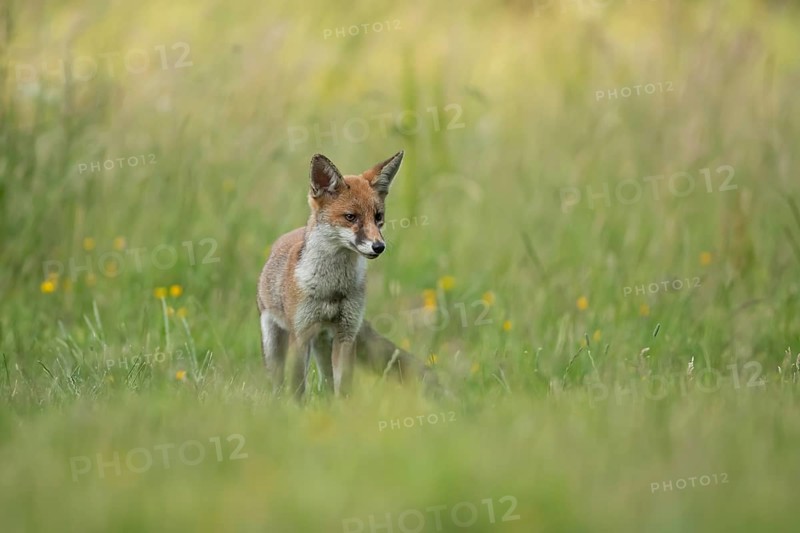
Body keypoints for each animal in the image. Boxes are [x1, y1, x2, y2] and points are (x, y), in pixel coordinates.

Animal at [257, 151, 431, 397]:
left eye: (378, 217)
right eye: (351, 217)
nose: (379, 247)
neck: (332, 288)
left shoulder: (347, 334)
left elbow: (344, 387)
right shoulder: (301, 334)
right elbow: (298, 387)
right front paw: (295, 407)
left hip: (324, 343)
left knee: (328, 383)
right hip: (274, 342)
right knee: (278, 380)